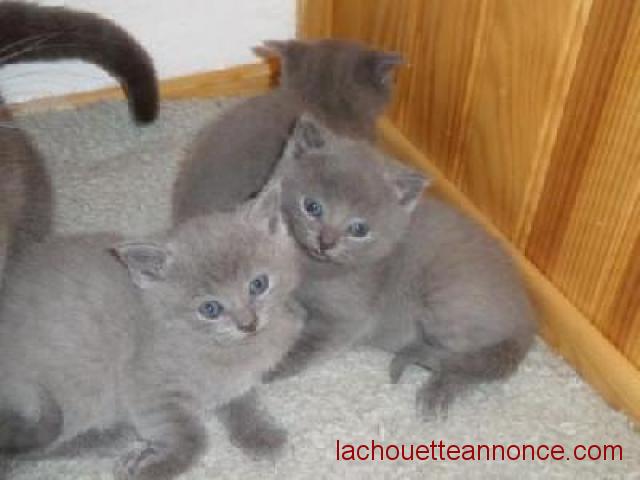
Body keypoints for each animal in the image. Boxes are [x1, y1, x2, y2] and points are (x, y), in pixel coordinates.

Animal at [0, 185, 303, 480]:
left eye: (258, 284)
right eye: (210, 309)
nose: (248, 324)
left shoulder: (233, 382)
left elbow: (242, 401)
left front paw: (261, 434)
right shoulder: (147, 388)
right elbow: (193, 438)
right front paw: (150, 467)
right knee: (32, 448)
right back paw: (111, 437)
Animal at [267, 114, 536, 418]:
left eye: (358, 229)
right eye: (311, 206)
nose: (326, 242)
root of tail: (526, 321)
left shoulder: (346, 318)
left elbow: (309, 343)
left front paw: (274, 367)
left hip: (445, 301)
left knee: (465, 361)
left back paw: (437, 390)